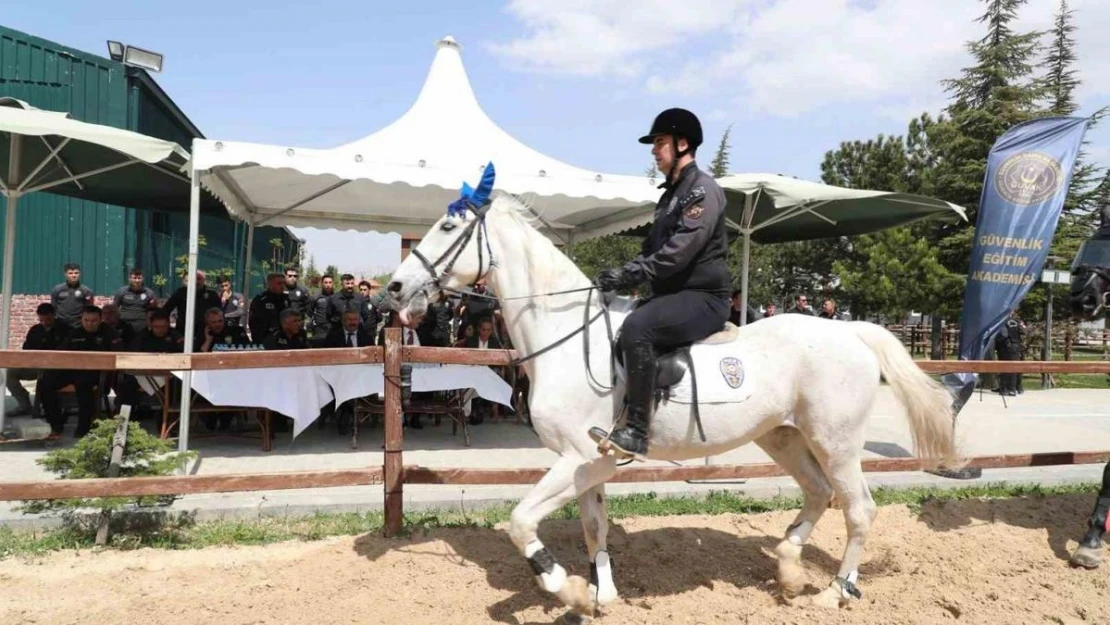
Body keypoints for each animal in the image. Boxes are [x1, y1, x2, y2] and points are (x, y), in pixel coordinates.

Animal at [386, 190, 959, 621]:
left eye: (447, 226)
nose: (394, 289)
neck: (567, 338)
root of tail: (854, 332)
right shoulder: (592, 464)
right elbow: (593, 527)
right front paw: (601, 596)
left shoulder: (577, 457)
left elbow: (521, 521)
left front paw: (564, 587)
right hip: (783, 436)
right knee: (819, 494)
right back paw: (789, 568)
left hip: (835, 442)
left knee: (859, 509)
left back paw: (835, 592)